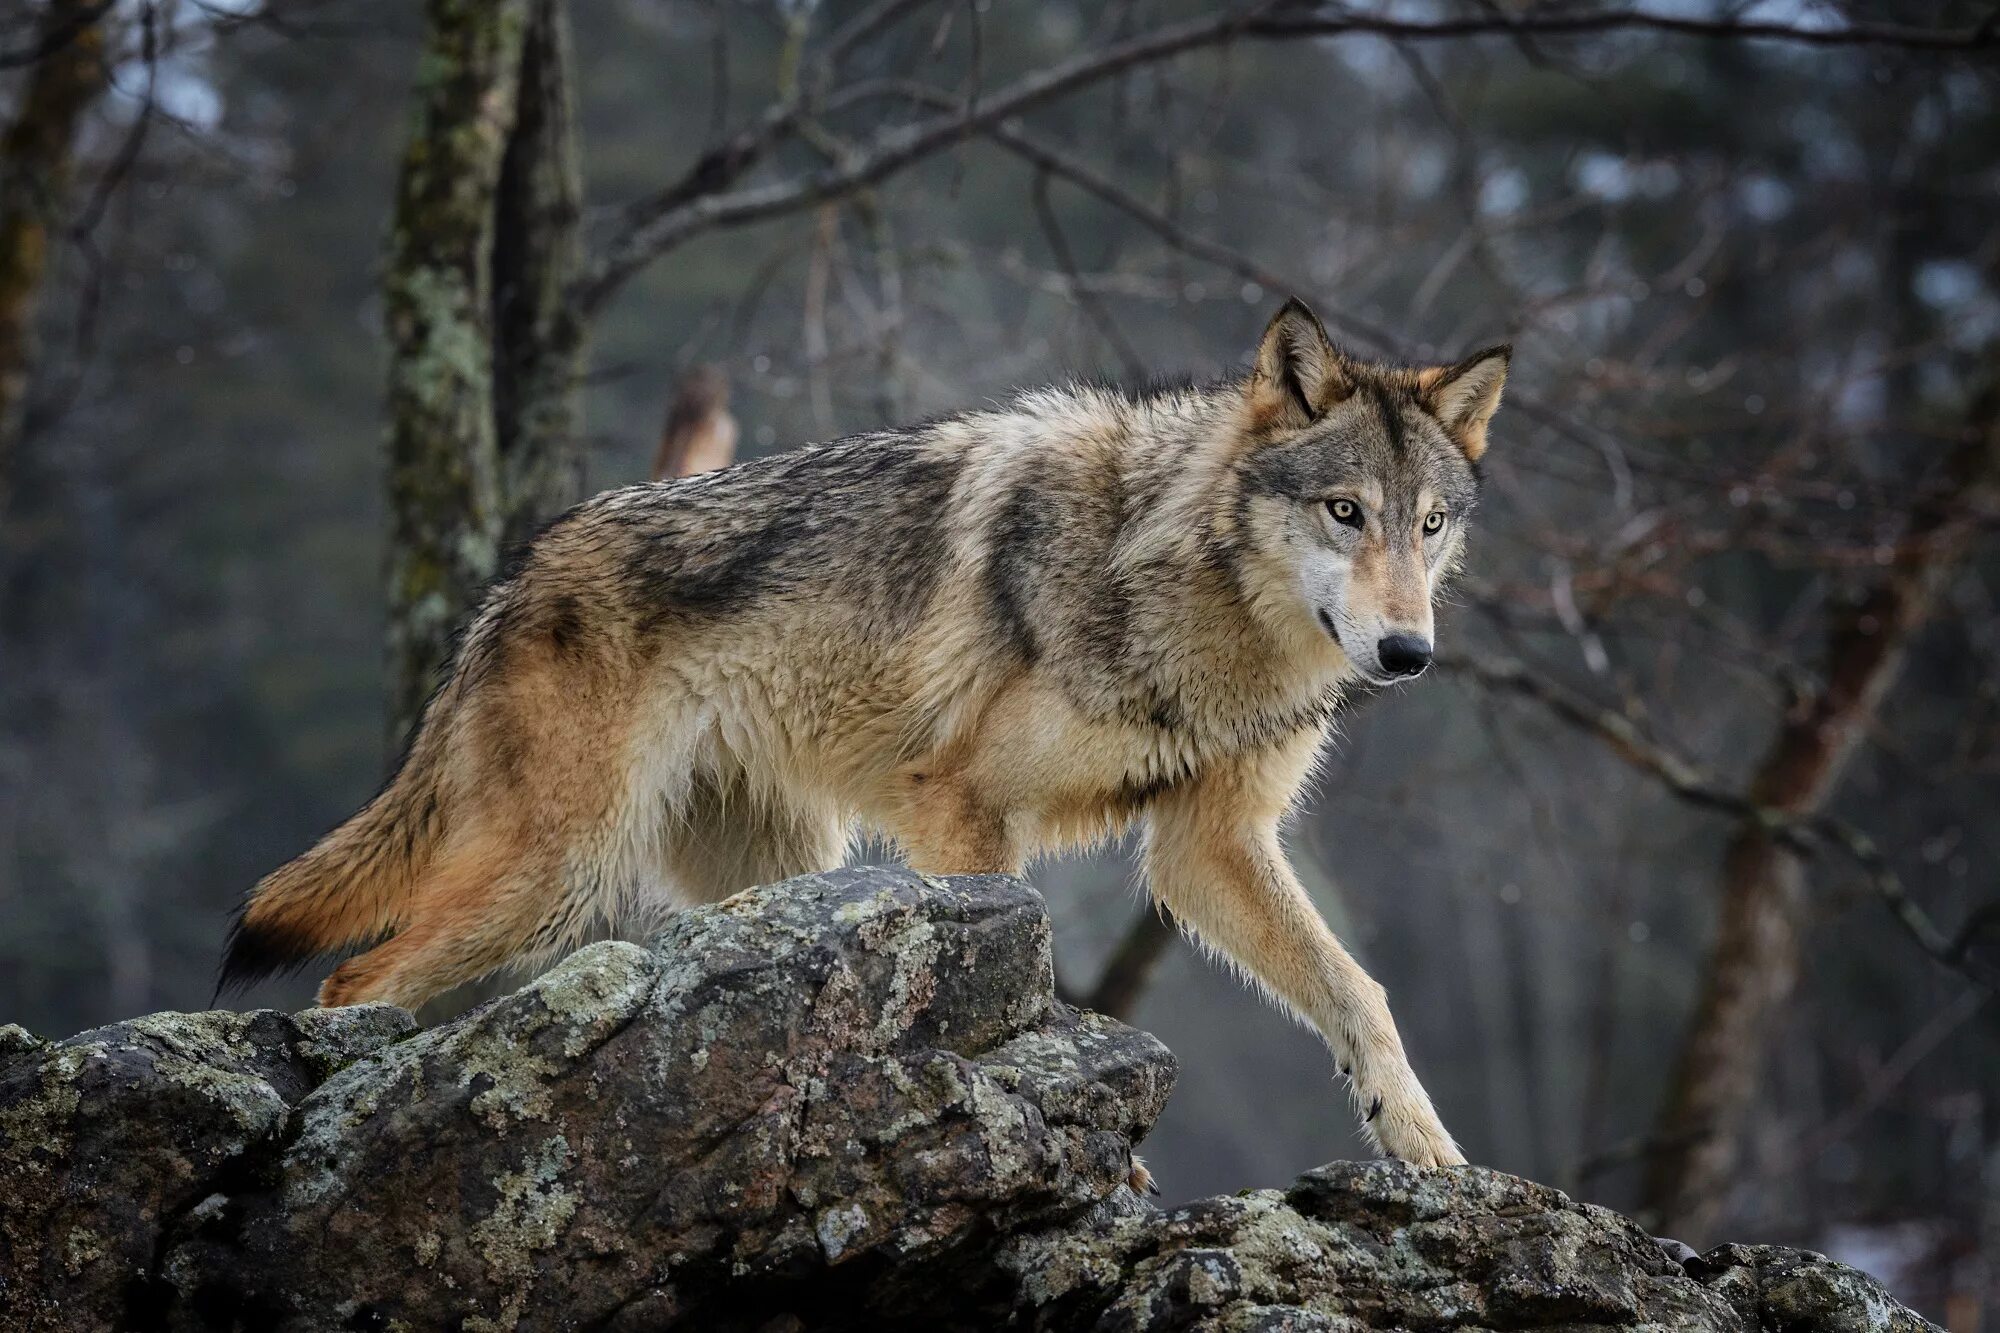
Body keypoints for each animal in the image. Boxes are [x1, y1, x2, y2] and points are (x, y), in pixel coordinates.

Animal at [223, 300, 1504, 1160]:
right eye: (1343, 513)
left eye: (1427, 524)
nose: (1406, 652)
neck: (1177, 588)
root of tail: (515, 577)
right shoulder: (963, 810)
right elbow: (1028, 983)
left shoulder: (1207, 846)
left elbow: (1357, 995)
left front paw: (1428, 1154)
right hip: (556, 874)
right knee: (354, 978)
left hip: (779, 880)